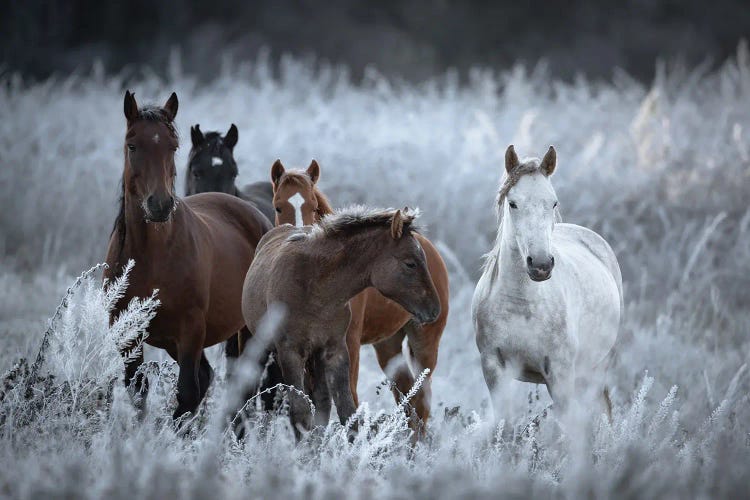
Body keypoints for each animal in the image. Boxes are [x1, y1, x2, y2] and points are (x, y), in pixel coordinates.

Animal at [104, 91, 272, 418]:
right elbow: (138, 393)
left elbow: (186, 394)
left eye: (173, 146)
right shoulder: (129, 334)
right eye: (132, 145)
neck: (151, 256)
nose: (159, 205)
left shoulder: (191, 331)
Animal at [241, 207, 444, 434]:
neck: (315, 287)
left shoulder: (335, 351)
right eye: (410, 263)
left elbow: (346, 411)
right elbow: (301, 412)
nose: (434, 309)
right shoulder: (290, 352)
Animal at [272, 161, 452, 430]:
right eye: (278, 205)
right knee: (407, 395)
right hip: (388, 344)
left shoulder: (348, 343)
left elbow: (350, 398)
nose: (295, 233)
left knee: (422, 401)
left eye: (313, 206)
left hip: (425, 343)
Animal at [472, 145, 624, 418]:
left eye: (553, 202)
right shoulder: (493, 369)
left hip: (596, 368)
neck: (520, 304)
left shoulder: (560, 374)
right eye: (513, 203)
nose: (541, 265)